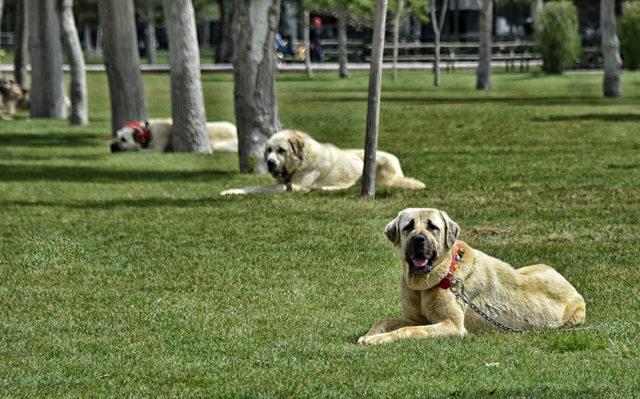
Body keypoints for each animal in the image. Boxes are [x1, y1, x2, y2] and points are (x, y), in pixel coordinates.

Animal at [110, 119, 238, 153]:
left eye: (123, 139)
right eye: (117, 135)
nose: (110, 146)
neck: (147, 132)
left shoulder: (158, 146)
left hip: (221, 146)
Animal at [220, 130, 424, 195]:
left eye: (281, 150)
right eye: (269, 150)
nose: (270, 163)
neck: (300, 163)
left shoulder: (294, 187)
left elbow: (260, 189)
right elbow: (252, 186)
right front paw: (231, 190)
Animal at [358, 208, 588, 346]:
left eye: (432, 227)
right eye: (408, 227)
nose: (419, 240)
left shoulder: (451, 325)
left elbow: (407, 330)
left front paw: (378, 339)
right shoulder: (415, 318)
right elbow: (385, 320)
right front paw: (370, 334)